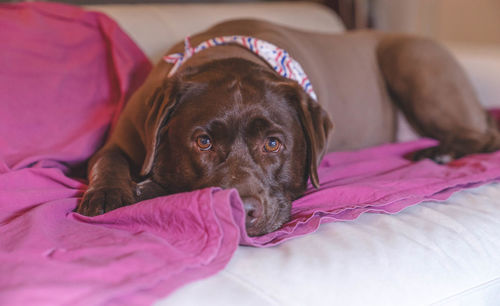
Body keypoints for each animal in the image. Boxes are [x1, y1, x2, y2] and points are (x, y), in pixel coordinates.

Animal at [76, 19, 500, 237]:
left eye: (273, 144)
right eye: (204, 141)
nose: (241, 209)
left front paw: (148, 187)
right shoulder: (124, 135)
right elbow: (107, 160)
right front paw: (109, 193)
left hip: (411, 59)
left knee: (483, 136)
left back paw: (440, 151)